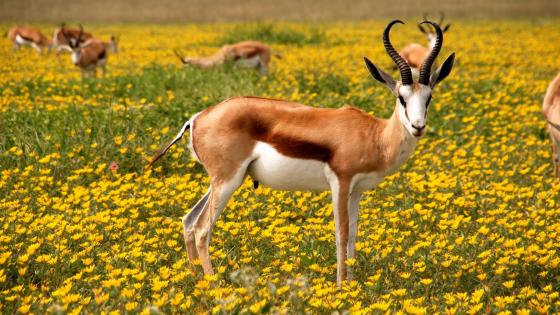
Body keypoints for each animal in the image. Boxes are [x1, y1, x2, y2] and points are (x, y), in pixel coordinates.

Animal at [150, 19, 456, 286]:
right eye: (401, 98)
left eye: (428, 97)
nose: (418, 126)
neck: (375, 135)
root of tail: (197, 118)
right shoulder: (340, 183)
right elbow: (341, 234)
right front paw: (340, 288)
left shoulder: (356, 190)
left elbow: (354, 235)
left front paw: (353, 287)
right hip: (228, 180)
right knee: (203, 229)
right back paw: (215, 286)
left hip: (221, 181)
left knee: (189, 221)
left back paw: (196, 281)